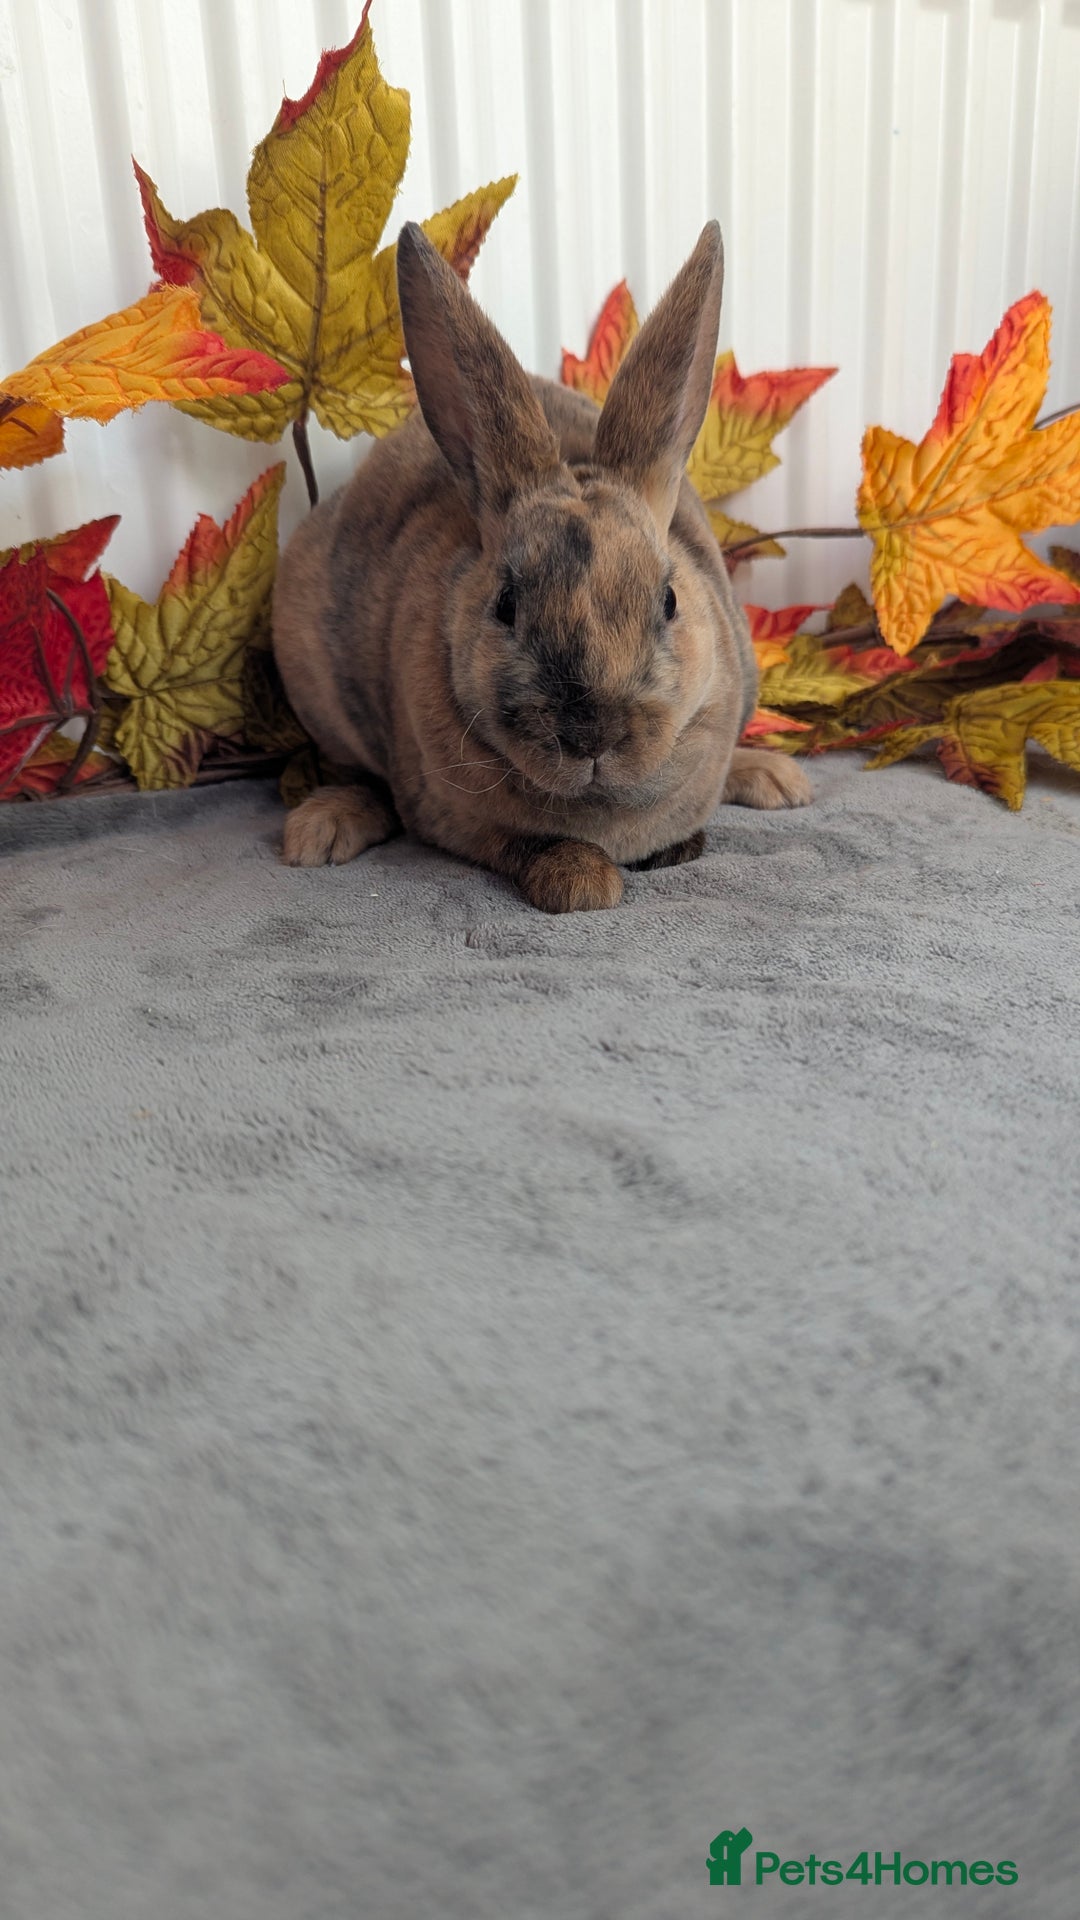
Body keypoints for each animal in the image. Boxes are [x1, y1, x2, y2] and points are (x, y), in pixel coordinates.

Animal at [271, 219, 810, 914]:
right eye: (507, 605)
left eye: (668, 601)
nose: (591, 736)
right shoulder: (452, 817)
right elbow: (526, 846)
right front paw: (585, 884)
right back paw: (320, 830)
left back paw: (778, 778)